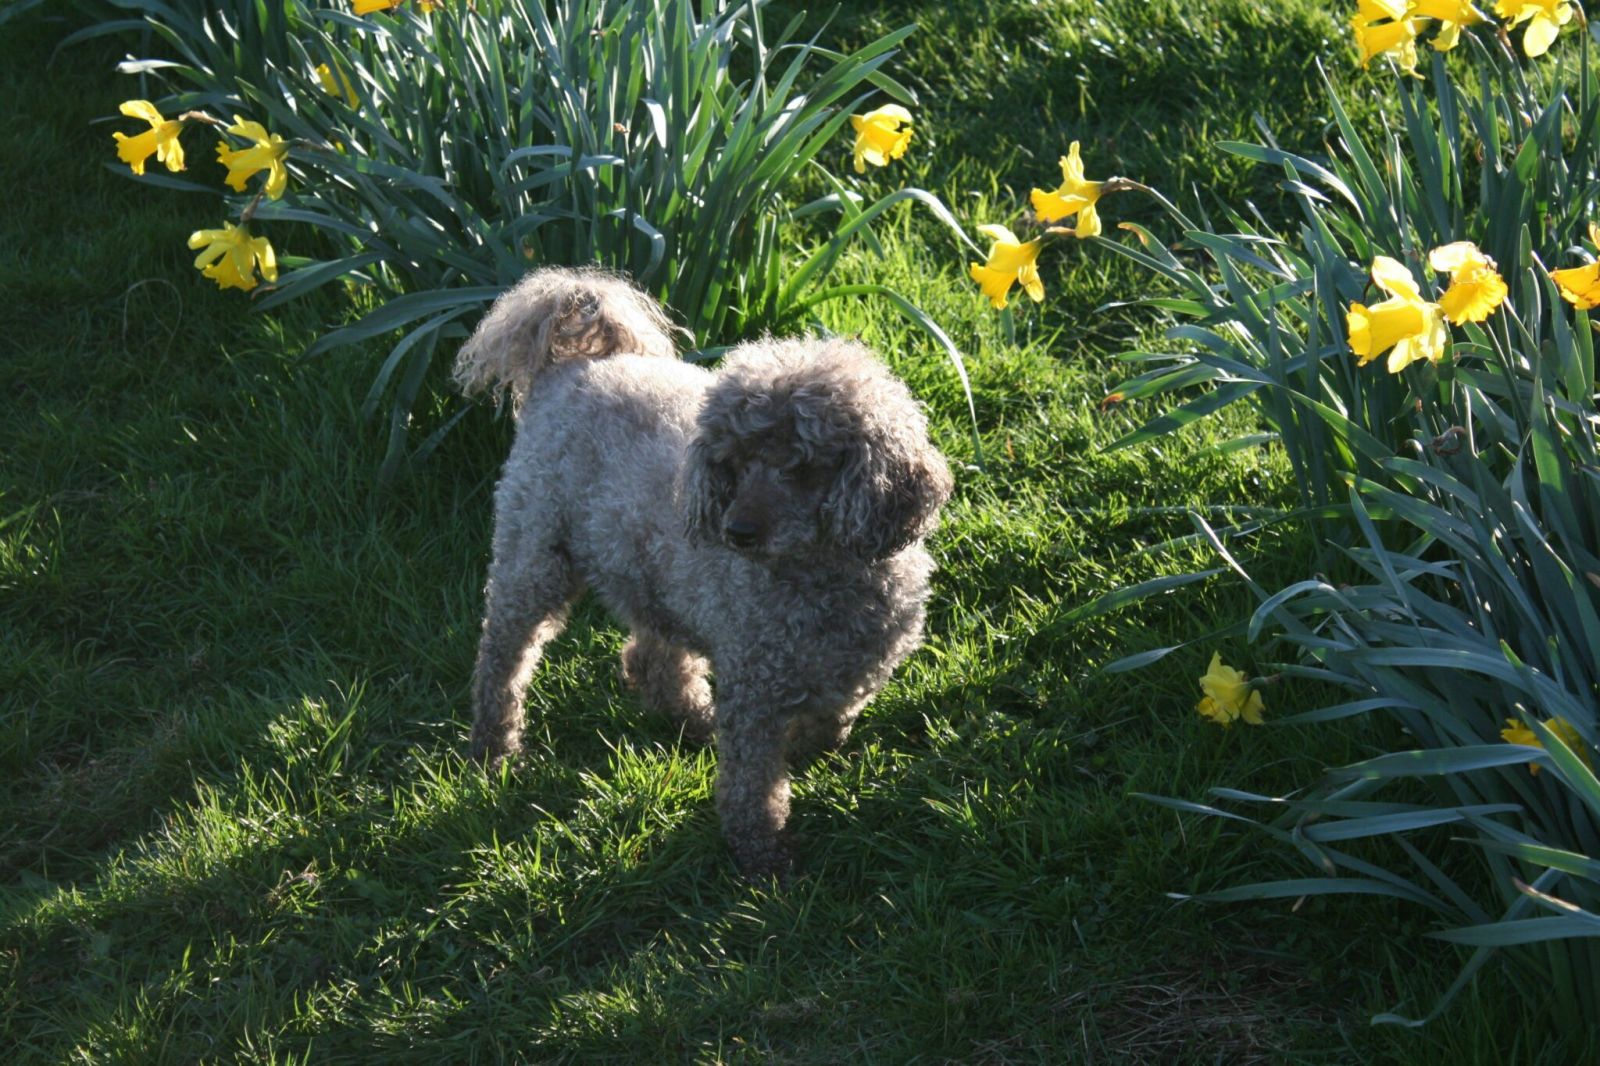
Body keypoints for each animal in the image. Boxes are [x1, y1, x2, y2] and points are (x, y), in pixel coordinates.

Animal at [454, 264, 947, 870]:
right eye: (732, 465)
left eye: (801, 467)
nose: (738, 532)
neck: (822, 578)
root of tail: (568, 366)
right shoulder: (754, 685)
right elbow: (753, 780)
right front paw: (761, 855)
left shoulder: (857, 667)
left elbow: (830, 723)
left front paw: (805, 751)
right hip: (533, 556)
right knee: (503, 659)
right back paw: (494, 753)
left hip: (651, 568)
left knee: (650, 658)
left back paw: (693, 719)